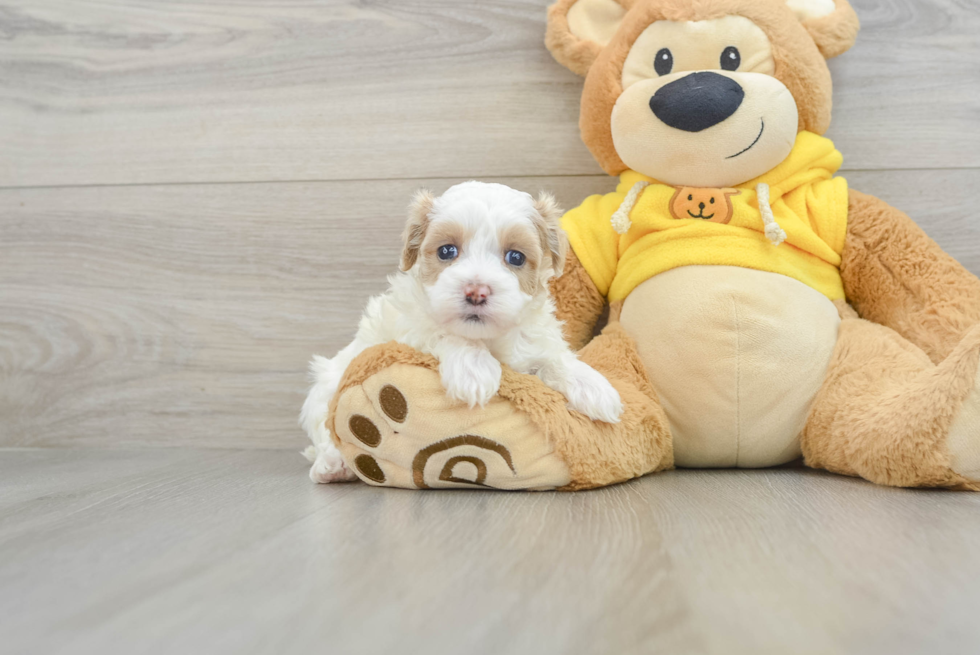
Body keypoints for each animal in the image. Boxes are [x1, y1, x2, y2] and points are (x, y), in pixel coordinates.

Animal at [300, 179, 620, 482]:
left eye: (515, 257)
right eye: (447, 251)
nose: (476, 292)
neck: (487, 338)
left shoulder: (533, 340)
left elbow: (555, 357)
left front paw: (595, 387)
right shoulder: (408, 326)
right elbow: (442, 332)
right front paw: (474, 370)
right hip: (326, 386)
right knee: (325, 429)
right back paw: (333, 465)